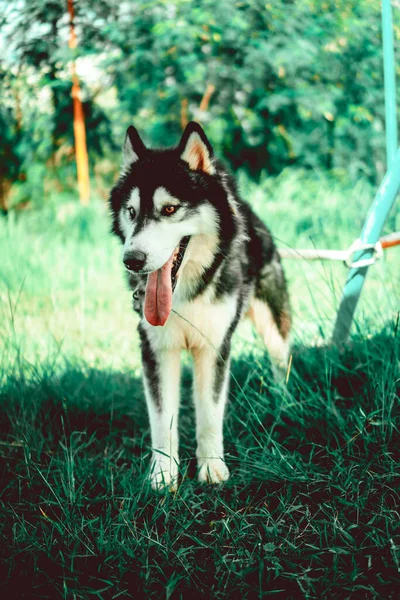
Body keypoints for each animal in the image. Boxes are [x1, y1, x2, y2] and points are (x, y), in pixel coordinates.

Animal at [109, 120, 290, 488]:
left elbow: (209, 412)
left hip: (271, 322)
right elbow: (162, 419)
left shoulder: (214, 346)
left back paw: (285, 403)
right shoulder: (157, 349)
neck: (184, 295)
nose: (132, 261)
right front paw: (163, 475)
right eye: (131, 212)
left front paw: (212, 468)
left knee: (282, 357)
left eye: (169, 209)